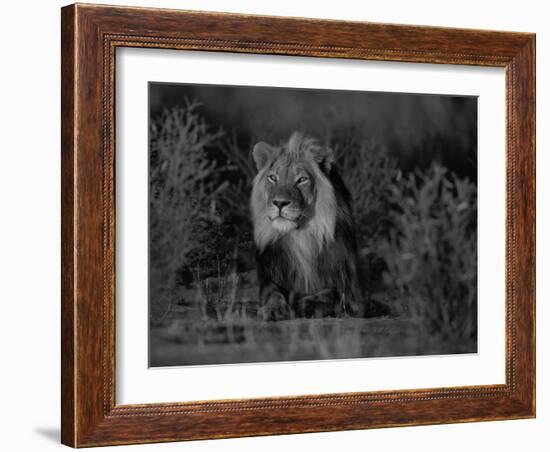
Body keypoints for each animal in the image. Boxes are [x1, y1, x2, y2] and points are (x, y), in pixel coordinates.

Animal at [252, 132, 364, 322]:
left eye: (302, 180)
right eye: (273, 178)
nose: (279, 203)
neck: (302, 236)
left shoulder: (352, 294)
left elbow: (332, 293)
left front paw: (307, 303)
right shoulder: (269, 275)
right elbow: (272, 292)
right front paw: (274, 309)